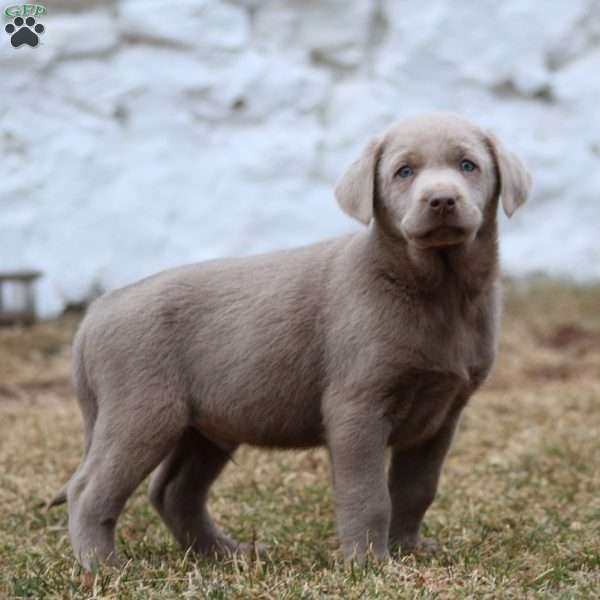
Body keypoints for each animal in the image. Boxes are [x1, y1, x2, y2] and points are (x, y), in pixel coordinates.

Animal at [50, 111, 528, 568]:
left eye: (468, 165)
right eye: (404, 172)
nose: (442, 200)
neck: (437, 290)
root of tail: (98, 310)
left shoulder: (443, 414)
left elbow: (416, 489)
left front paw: (407, 549)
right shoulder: (357, 406)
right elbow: (368, 494)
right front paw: (369, 563)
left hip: (206, 425)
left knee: (173, 491)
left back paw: (223, 553)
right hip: (142, 412)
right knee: (89, 489)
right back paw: (102, 566)